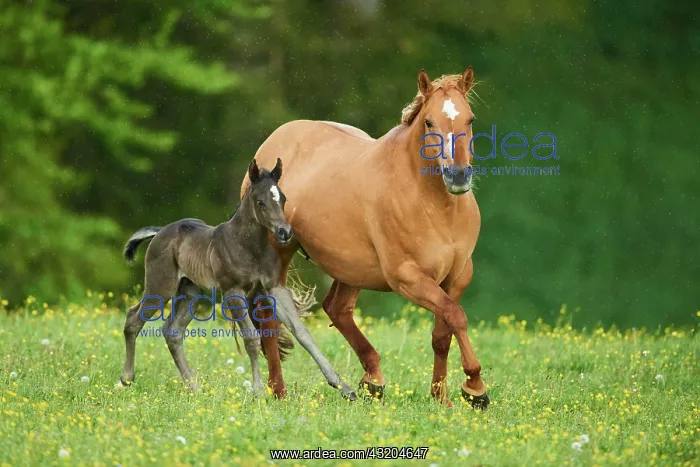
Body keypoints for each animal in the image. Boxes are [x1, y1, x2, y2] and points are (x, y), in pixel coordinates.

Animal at [119, 158, 356, 400]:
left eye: (283, 198)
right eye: (261, 202)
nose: (285, 232)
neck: (249, 246)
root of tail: (159, 232)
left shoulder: (273, 288)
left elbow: (302, 332)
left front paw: (343, 387)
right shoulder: (233, 292)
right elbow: (251, 338)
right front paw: (258, 390)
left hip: (190, 292)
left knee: (173, 331)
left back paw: (194, 387)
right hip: (161, 286)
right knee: (133, 319)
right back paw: (126, 379)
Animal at [240, 68, 489, 409]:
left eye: (470, 118)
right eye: (429, 122)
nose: (459, 175)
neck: (435, 206)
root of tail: (274, 141)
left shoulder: (457, 277)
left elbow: (443, 333)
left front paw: (442, 398)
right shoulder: (407, 278)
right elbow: (456, 316)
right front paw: (476, 387)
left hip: (351, 267)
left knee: (337, 309)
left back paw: (373, 380)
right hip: (281, 253)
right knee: (270, 316)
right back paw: (279, 391)